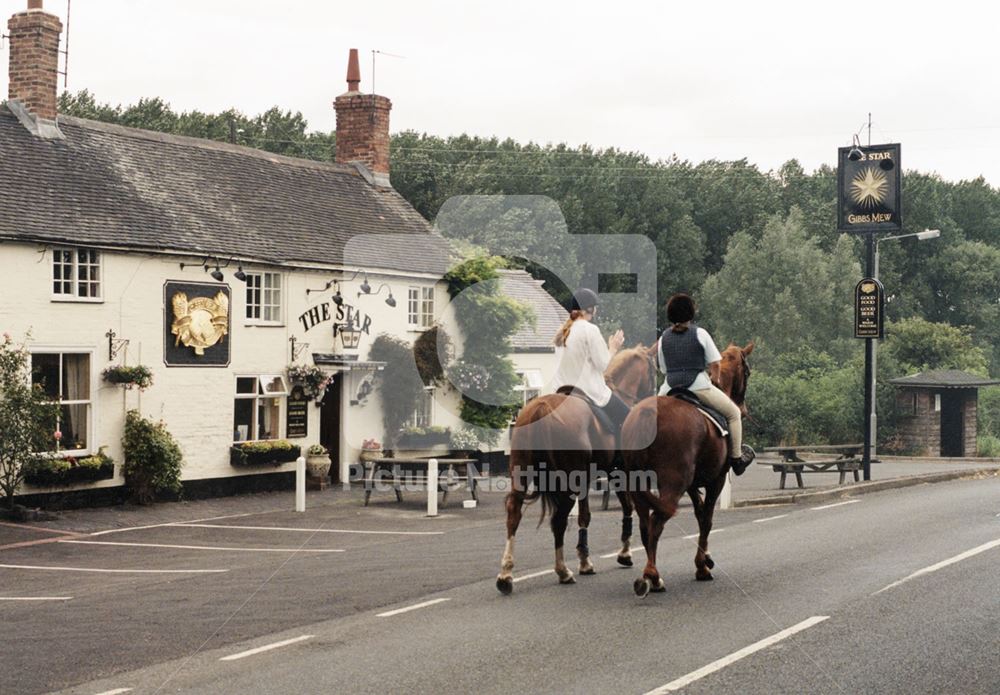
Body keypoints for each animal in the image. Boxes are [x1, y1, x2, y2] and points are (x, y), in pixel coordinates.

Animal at [494, 346, 656, 596]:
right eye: (653, 370)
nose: (653, 395)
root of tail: (541, 407)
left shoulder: (588, 480)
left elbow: (584, 517)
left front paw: (585, 560)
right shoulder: (618, 473)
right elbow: (625, 508)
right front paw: (623, 554)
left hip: (523, 476)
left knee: (514, 515)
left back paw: (506, 575)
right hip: (570, 481)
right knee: (559, 520)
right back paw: (562, 571)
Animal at [620, 342, 752, 600]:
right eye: (748, 372)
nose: (742, 409)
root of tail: (646, 414)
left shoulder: (692, 485)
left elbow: (700, 514)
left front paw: (705, 560)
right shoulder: (716, 480)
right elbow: (707, 519)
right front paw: (703, 566)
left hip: (642, 487)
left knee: (645, 524)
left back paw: (651, 575)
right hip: (674, 484)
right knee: (656, 522)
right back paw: (653, 577)